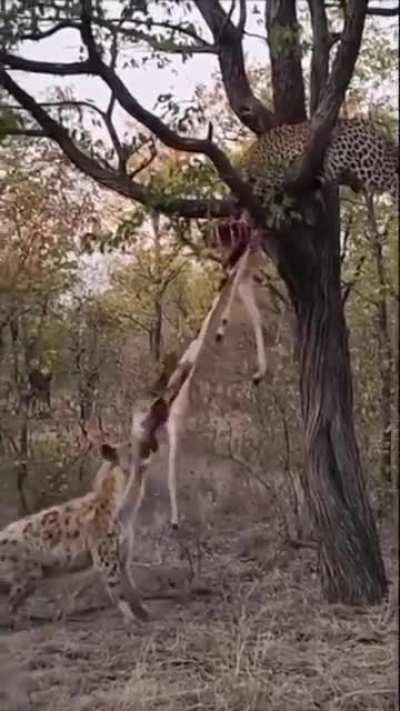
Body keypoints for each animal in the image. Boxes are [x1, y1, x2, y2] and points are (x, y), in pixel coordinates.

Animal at [0, 441, 150, 626]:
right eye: (131, 445)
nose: (149, 446)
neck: (125, 508)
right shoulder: (105, 559)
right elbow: (117, 590)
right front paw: (131, 620)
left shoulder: (122, 556)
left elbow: (132, 587)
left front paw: (143, 613)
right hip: (29, 574)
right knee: (12, 602)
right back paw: (24, 623)